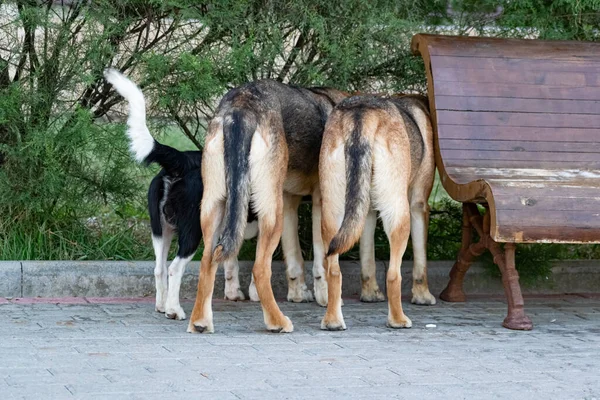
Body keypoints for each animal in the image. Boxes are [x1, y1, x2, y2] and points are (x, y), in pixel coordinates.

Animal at [103, 68, 258, 318]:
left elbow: (230, 259)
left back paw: (162, 305)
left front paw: (234, 292)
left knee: (159, 268)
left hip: (160, 229)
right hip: (192, 231)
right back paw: (174, 310)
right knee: (174, 268)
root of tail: (181, 161)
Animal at [318, 95, 436, 330]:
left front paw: (370, 294)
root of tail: (361, 112)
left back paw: (333, 321)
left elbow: (367, 259)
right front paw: (423, 296)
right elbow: (421, 262)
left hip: (333, 215)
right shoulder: (418, 207)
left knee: (333, 270)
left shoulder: (368, 213)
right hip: (399, 215)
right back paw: (398, 320)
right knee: (393, 275)